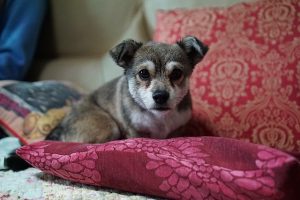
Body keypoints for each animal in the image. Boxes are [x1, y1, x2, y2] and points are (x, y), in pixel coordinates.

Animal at [47, 36, 209, 144]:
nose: (160, 96)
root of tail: (61, 126)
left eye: (176, 73)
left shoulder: (179, 129)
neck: (159, 118)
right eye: (143, 73)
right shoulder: (133, 131)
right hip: (108, 126)